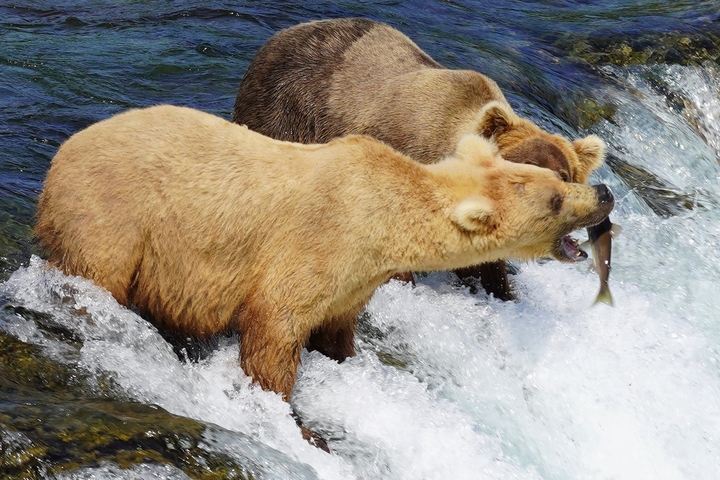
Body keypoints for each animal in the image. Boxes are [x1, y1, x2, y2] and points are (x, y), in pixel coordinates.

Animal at [35, 105, 613, 447]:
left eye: (557, 176)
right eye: (556, 196)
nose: (604, 193)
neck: (381, 224)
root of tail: (62, 152)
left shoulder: (354, 282)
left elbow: (336, 332)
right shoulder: (316, 244)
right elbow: (274, 329)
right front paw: (289, 416)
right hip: (113, 219)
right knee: (94, 276)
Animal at [232, 17, 607, 300]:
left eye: (564, 174)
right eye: (520, 170)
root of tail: (281, 35)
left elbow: (485, 268)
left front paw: (502, 291)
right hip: (285, 108)